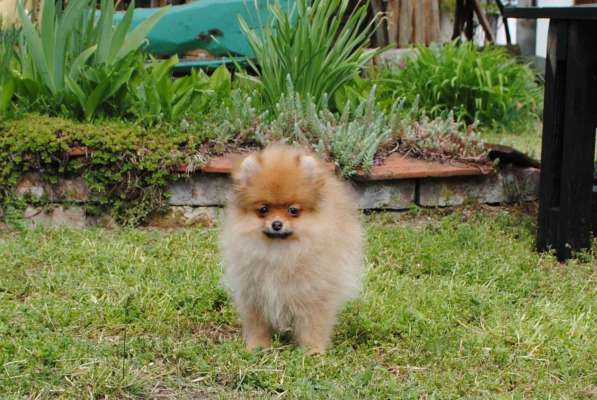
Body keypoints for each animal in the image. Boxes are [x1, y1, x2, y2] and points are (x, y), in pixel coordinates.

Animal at [220, 144, 364, 354]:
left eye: (293, 210)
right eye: (264, 209)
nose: (277, 224)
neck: (279, 252)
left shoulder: (313, 294)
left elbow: (313, 325)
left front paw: (313, 352)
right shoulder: (254, 293)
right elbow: (258, 325)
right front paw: (257, 347)